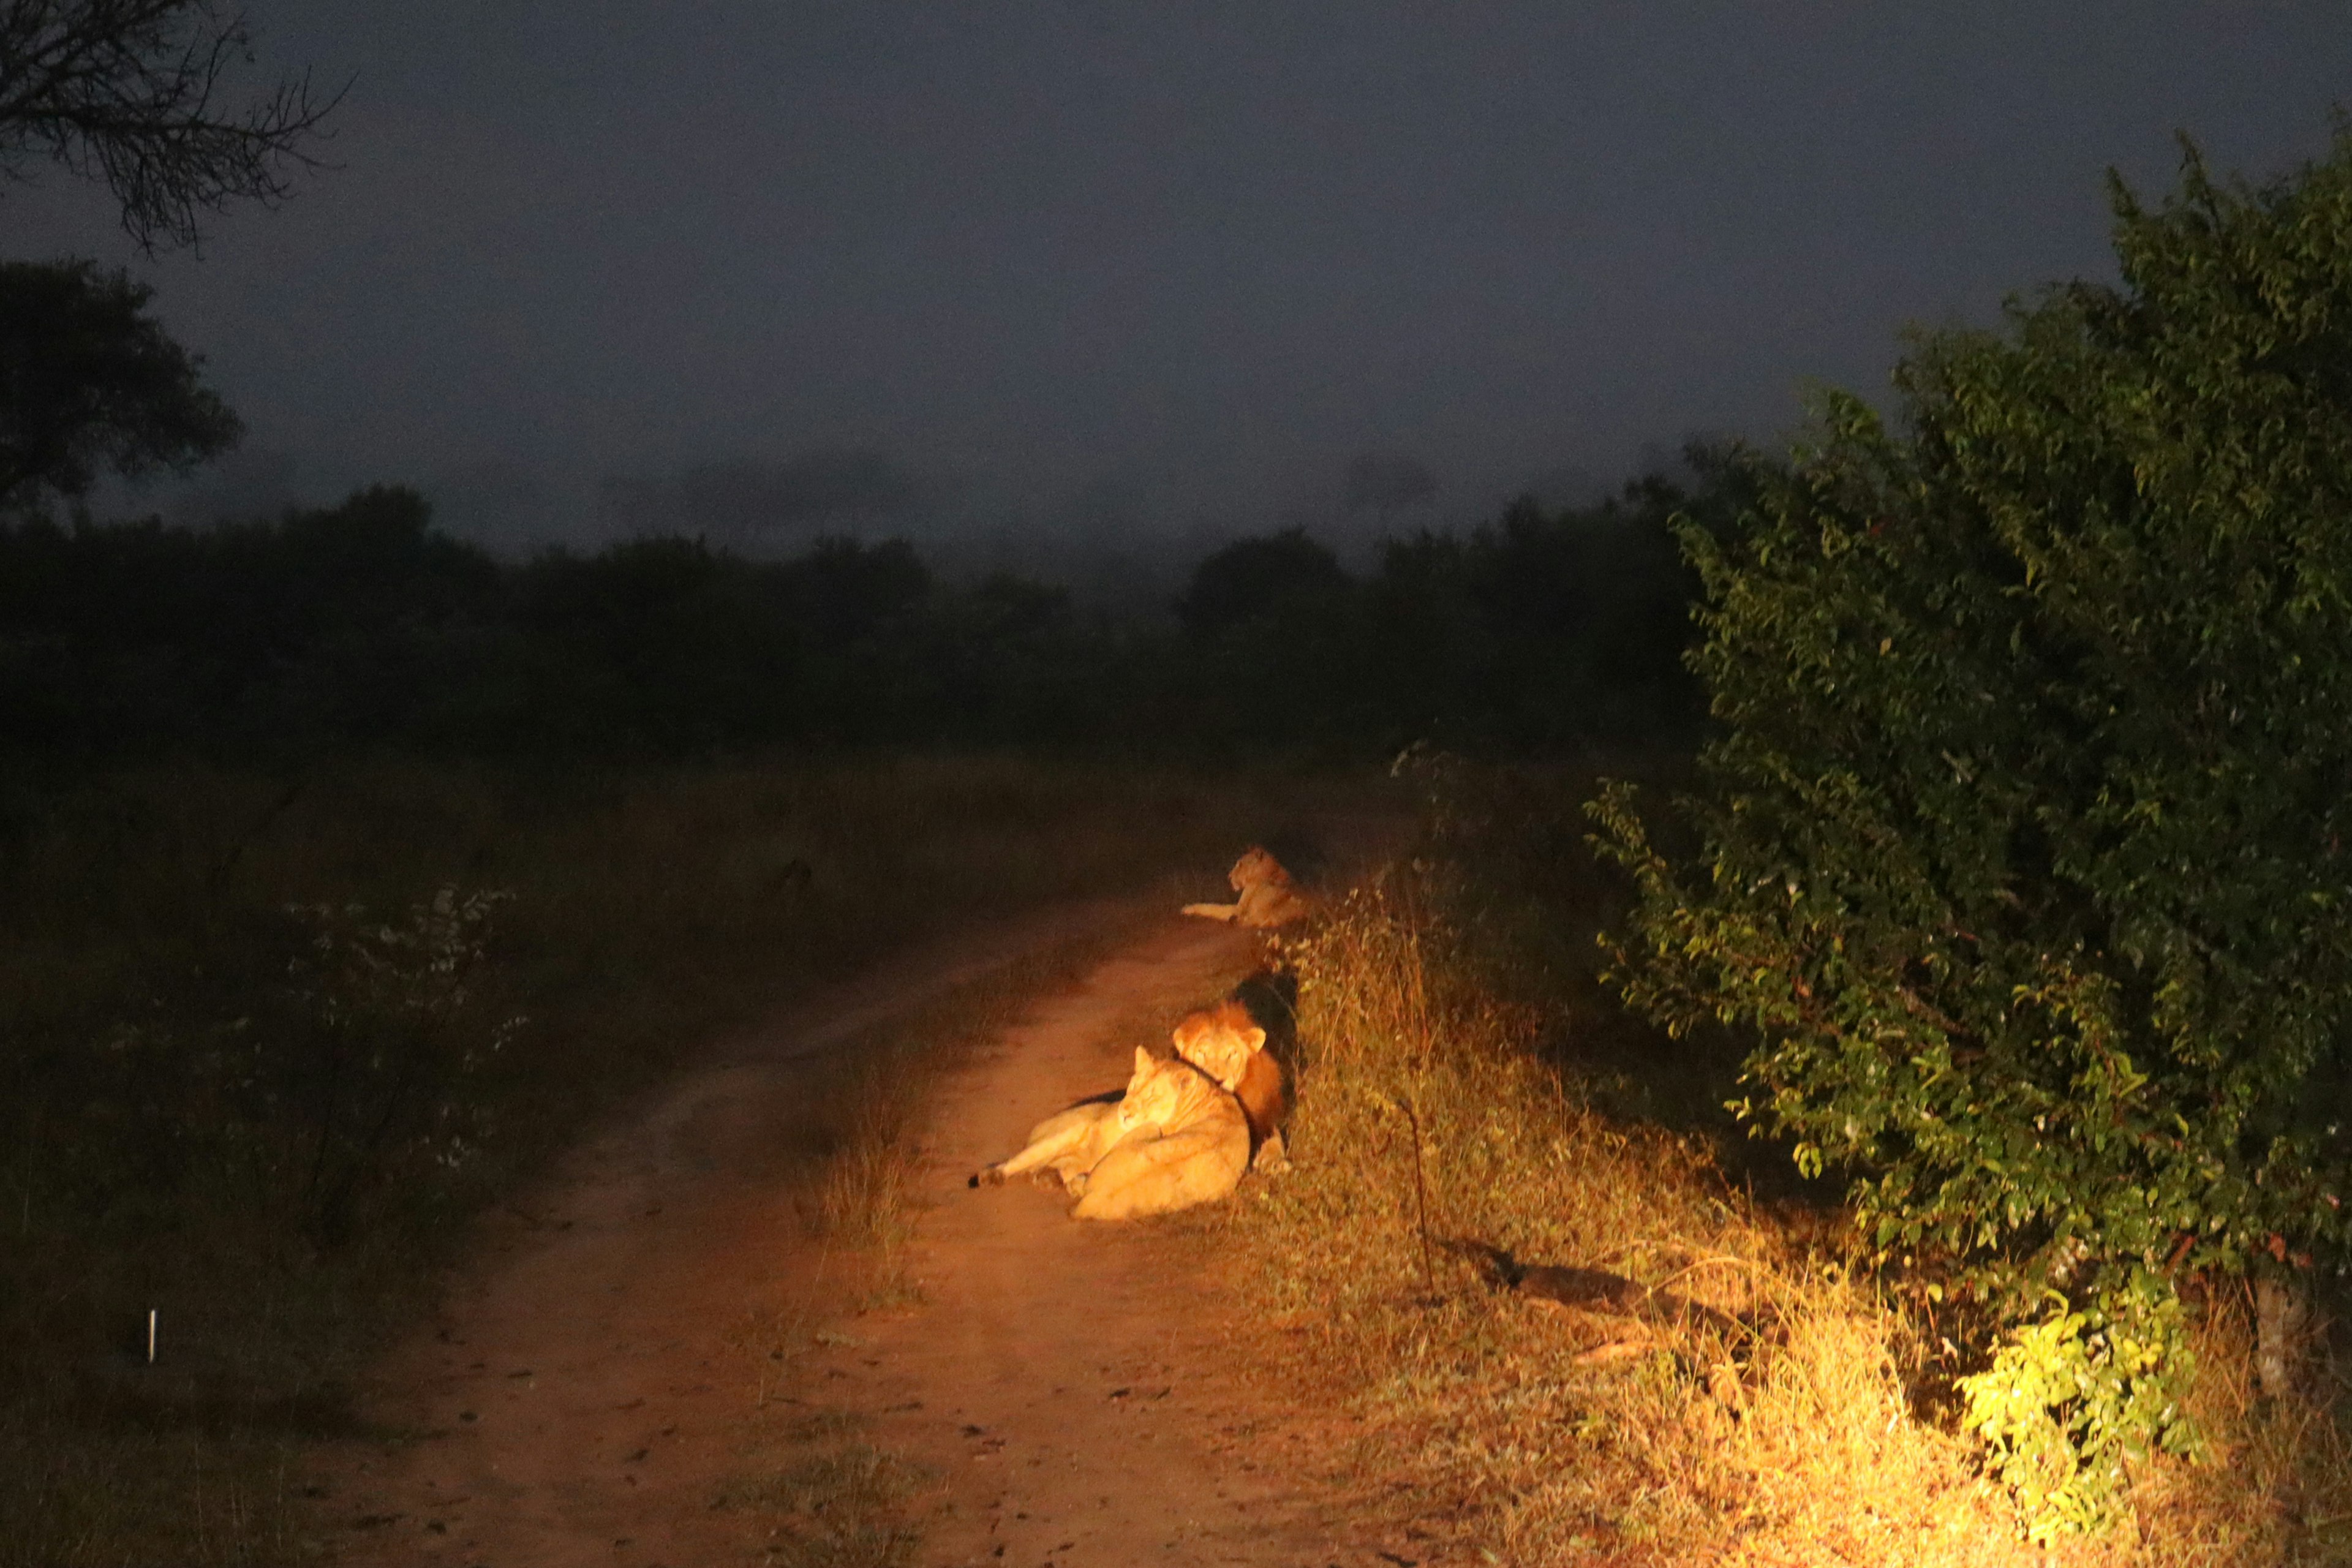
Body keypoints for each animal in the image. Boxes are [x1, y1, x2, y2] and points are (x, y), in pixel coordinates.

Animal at [964, 1048, 1251, 1222]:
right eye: (1133, 1086)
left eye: (1152, 1096)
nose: (1124, 1112)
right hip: (1066, 1130)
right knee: (1022, 1159)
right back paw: (996, 1175)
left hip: (1144, 1130)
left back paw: (1047, 1178)